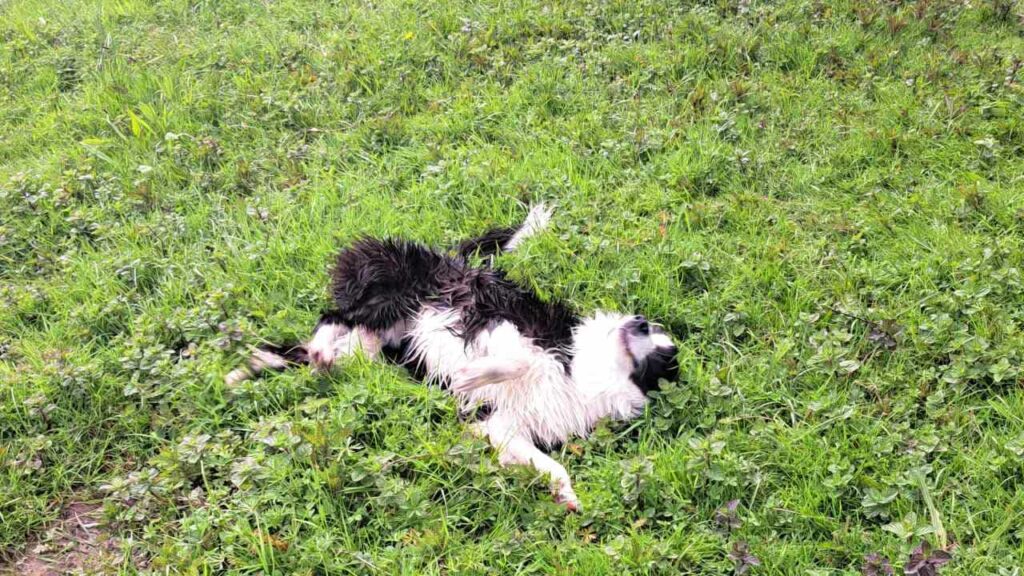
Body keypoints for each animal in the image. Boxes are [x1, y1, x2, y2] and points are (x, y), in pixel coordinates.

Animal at [227, 203, 675, 508]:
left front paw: (566, 495)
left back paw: (251, 370)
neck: (581, 375)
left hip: (370, 344)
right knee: (332, 317)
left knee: (317, 347)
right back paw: (304, 352)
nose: (639, 322)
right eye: (655, 331)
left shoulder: (504, 427)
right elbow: (515, 360)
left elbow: (550, 466)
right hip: (390, 290)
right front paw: (473, 376)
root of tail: (447, 255)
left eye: (664, 358)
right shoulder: (502, 325)